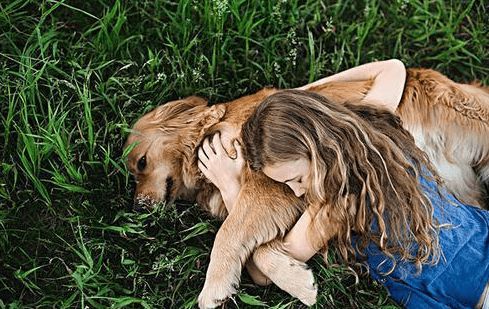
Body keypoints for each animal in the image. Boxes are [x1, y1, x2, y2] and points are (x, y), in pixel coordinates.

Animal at [124, 67, 486, 306]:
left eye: (141, 163)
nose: (139, 206)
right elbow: (261, 250)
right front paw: (297, 279)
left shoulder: (270, 186)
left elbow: (228, 234)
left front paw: (212, 289)